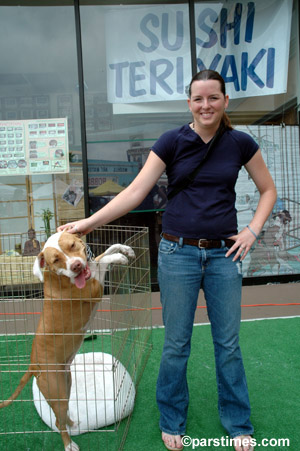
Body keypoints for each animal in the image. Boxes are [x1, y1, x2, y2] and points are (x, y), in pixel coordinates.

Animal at [0, 233, 135, 451]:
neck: (60, 277)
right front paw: (118, 258)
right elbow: (103, 260)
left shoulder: (91, 269)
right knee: (58, 422)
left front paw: (123, 249)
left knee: (60, 418)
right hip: (57, 392)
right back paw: (69, 444)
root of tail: (33, 365)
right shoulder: (94, 288)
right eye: (55, 260)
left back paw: (73, 424)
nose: (76, 266)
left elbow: (105, 252)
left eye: (72, 245)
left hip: (66, 385)